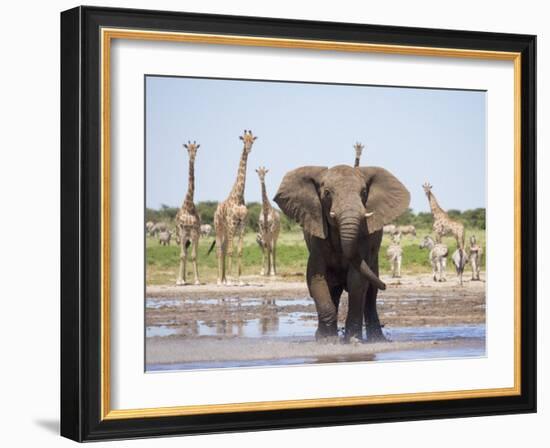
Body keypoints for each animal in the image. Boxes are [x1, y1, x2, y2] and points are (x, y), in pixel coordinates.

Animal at [215, 130, 260, 286]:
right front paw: (230, 279)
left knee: (223, 248)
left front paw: (239, 280)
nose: (249, 148)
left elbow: (239, 251)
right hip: (219, 228)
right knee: (220, 249)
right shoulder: (232, 224)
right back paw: (220, 279)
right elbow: (230, 251)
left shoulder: (242, 225)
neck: (239, 196)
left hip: (227, 230)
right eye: (243, 140)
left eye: (252, 140)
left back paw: (223, 278)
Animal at [274, 164, 410, 344]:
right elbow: (316, 278)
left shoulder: (364, 237)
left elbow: (357, 280)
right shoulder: (317, 237)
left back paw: (377, 339)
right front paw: (327, 340)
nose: (387, 285)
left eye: (364, 192)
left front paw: (352, 340)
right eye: (327, 193)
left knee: (370, 293)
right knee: (334, 290)